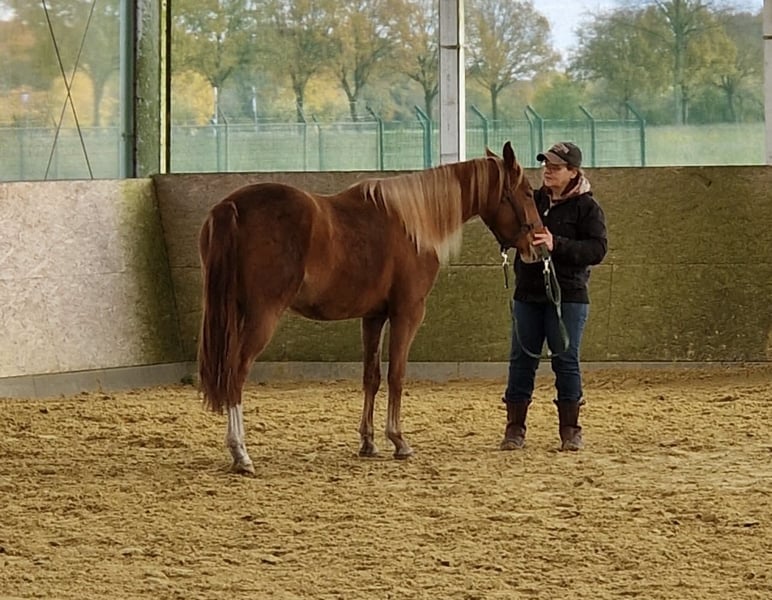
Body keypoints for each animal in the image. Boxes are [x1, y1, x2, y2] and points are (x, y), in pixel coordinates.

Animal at [197, 141, 544, 475]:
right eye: (528, 192)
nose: (538, 247)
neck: (411, 224)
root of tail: (232, 207)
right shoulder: (408, 313)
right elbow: (397, 375)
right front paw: (399, 440)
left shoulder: (374, 316)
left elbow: (372, 376)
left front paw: (368, 441)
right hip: (262, 315)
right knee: (236, 372)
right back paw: (241, 453)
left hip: (234, 312)